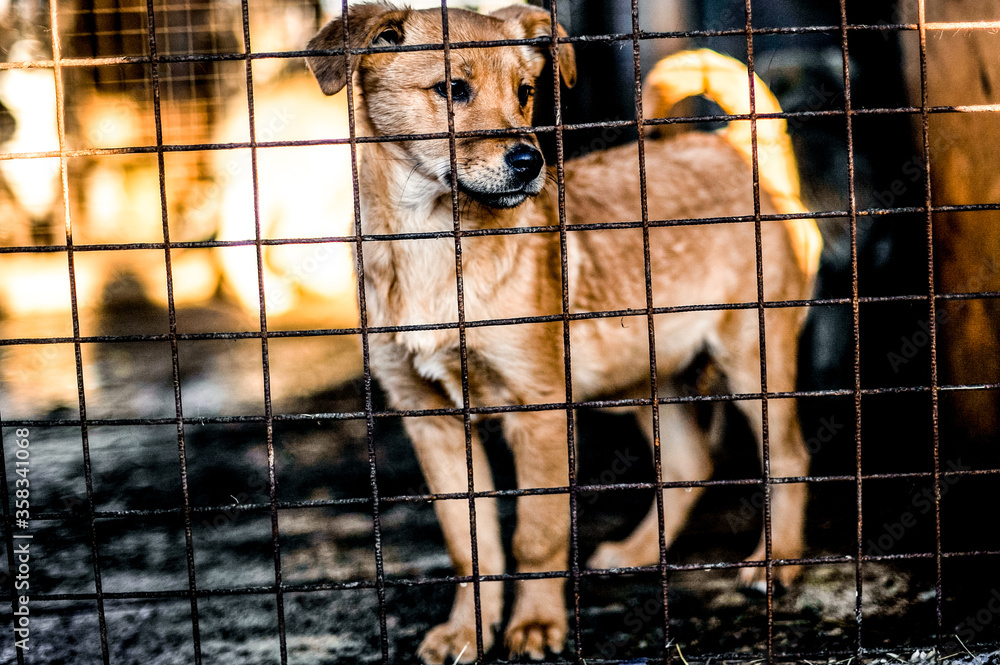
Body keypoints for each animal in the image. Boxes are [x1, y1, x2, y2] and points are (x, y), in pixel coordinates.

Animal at [306, 3, 820, 660]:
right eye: (452, 89)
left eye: (526, 92)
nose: (531, 162)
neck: (432, 244)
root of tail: (739, 150)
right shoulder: (428, 418)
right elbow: (470, 545)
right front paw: (466, 632)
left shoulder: (540, 410)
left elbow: (537, 535)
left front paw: (534, 625)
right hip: (650, 374)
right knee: (691, 462)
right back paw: (635, 553)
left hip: (753, 357)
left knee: (788, 454)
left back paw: (775, 565)